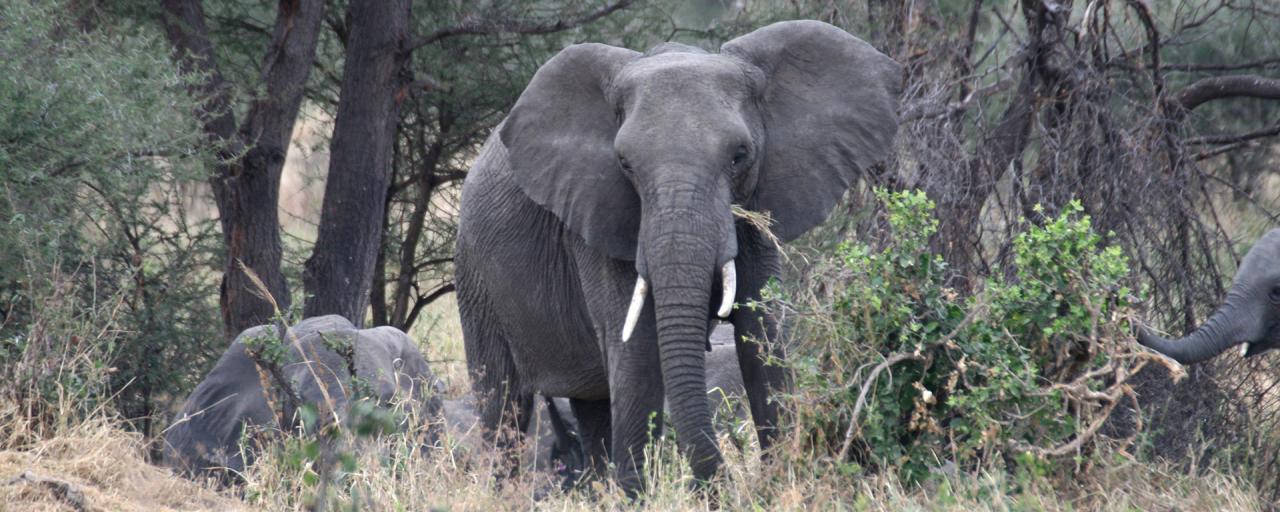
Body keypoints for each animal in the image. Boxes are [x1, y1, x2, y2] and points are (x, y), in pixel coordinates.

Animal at [455, 20, 906, 488]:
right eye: (625, 164)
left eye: (739, 156)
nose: (722, 486)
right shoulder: (597, 215)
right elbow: (636, 352)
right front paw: (639, 495)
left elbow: (762, 339)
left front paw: (784, 479)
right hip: (474, 276)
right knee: (503, 404)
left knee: (591, 405)